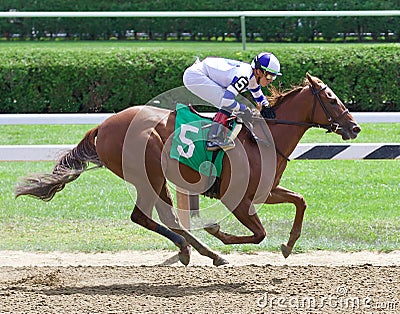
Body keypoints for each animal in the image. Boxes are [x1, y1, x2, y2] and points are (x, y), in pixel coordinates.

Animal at [14, 73, 360, 264]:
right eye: (331, 99)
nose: (354, 127)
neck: (264, 138)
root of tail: (103, 125)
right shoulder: (237, 200)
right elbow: (258, 234)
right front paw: (217, 231)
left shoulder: (267, 191)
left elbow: (300, 201)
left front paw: (288, 245)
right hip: (148, 175)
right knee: (146, 217)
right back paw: (200, 250)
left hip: (158, 178)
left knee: (169, 218)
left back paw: (198, 252)